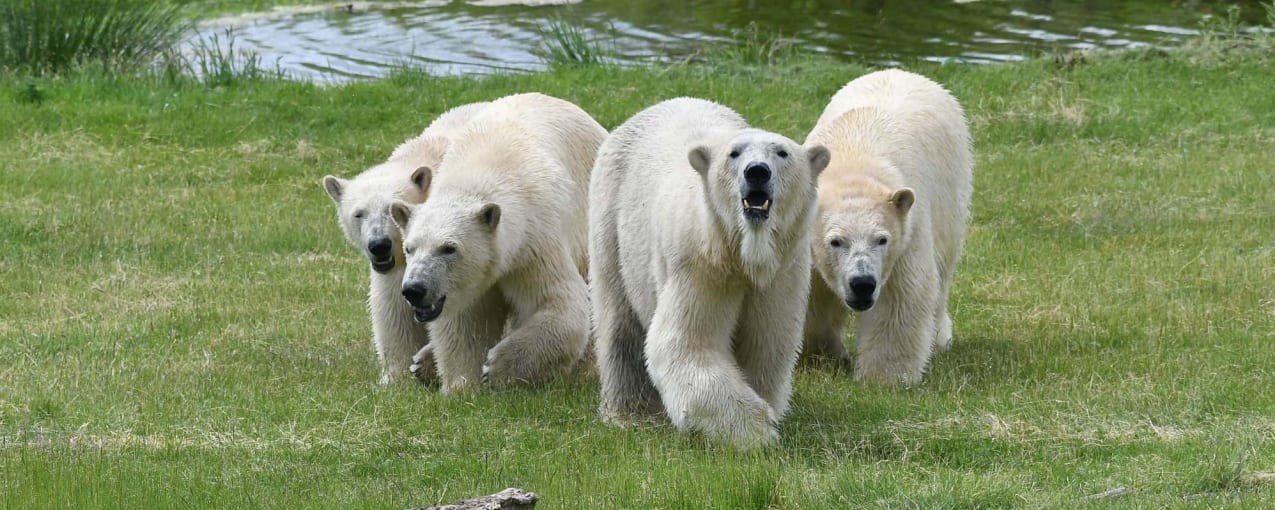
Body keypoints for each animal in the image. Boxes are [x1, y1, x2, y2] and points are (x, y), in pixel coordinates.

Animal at [321, 101, 489, 385]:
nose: (379, 245)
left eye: (391, 210)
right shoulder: (397, 265)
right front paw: (394, 378)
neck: (427, 156)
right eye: (359, 214)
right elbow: (393, 309)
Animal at [387, 92, 606, 395]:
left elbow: (560, 303)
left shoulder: (534, 240)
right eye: (410, 248)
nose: (414, 289)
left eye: (448, 248)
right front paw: (461, 386)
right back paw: (423, 362)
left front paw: (497, 367)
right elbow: (465, 323)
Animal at [591, 97, 831, 448]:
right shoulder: (700, 264)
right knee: (619, 322)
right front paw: (756, 431)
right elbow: (688, 343)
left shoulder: (783, 271)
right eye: (734, 153)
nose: (756, 172)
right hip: (612, 218)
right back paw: (629, 413)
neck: (744, 253)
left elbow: (768, 343)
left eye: (782, 152)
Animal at [805, 69, 974, 385]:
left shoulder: (907, 232)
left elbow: (900, 298)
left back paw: (939, 337)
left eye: (881, 240)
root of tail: (903, 72)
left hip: (952, 188)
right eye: (836, 241)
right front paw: (823, 355)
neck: (851, 165)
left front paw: (884, 378)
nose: (862, 283)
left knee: (944, 267)